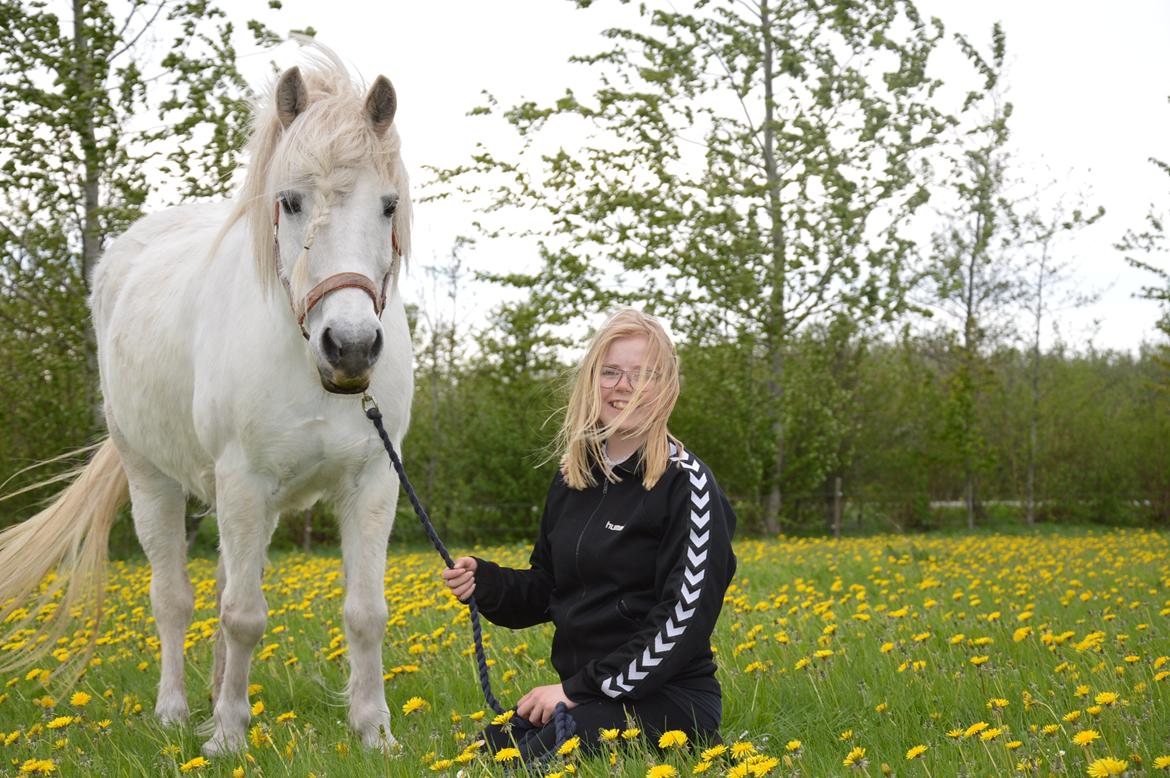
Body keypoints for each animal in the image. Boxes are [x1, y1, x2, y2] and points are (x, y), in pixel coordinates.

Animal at [0, 53, 416, 753]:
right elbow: (242, 615)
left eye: (388, 206)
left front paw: (374, 732)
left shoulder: (372, 480)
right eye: (290, 201)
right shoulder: (243, 481)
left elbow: (366, 612)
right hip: (153, 482)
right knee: (172, 599)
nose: (352, 347)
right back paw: (174, 712)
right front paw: (226, 738)